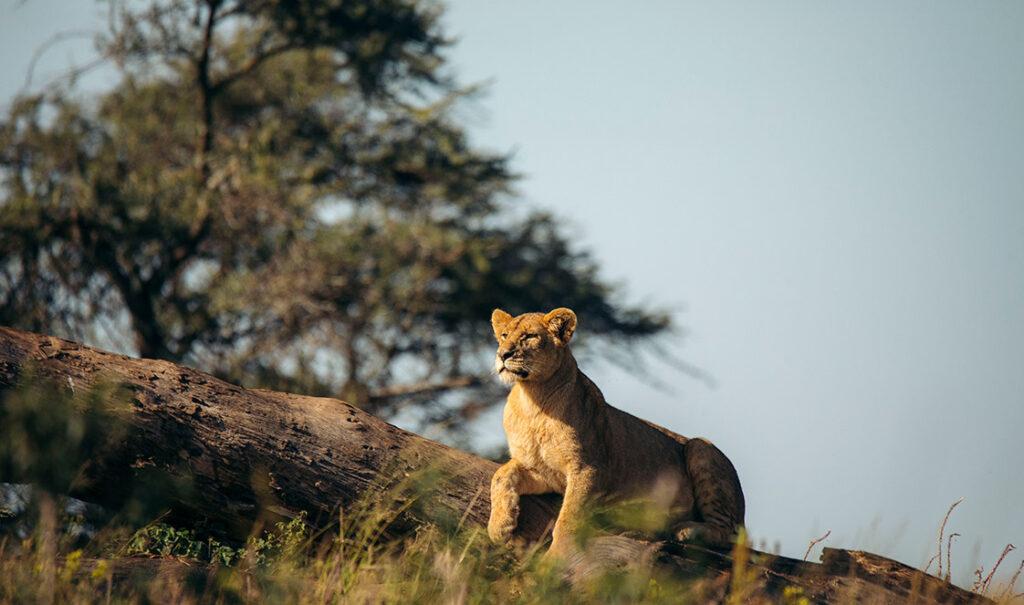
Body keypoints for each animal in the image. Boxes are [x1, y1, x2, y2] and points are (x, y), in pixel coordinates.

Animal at [487, 309, 745, 556]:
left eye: (529, 336)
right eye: (504, 335)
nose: (503, 355)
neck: (533, 401)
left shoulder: (588, 470)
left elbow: (568, 518)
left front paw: (555, 557)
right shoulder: (542, 471)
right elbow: (501, 475)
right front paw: (499, 526)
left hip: (700, 447)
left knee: (729, 535)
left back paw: (686, 530)